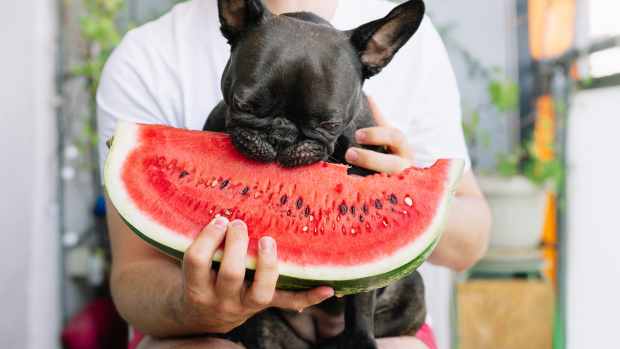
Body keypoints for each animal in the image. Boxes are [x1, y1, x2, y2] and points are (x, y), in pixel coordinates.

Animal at [206, 1, 428, 346]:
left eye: (329, 124)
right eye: (244, 105)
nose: (281, 135)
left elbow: (361, 300)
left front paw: (360, 340)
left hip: (412, 288)